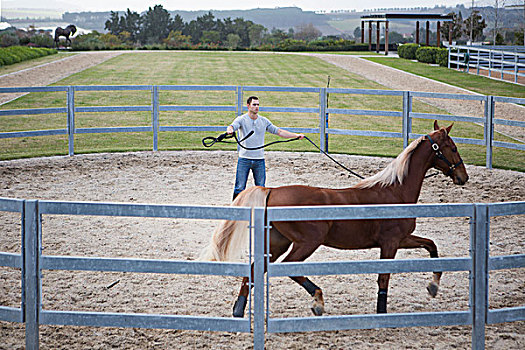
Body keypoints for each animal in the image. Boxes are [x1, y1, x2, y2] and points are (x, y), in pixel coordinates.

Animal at [200, 120, 466, 318]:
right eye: (453, 148)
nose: (463, 177)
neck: (395, 191)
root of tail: (272, 190)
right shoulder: (390, 243)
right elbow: (383, 278)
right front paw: (382, 312)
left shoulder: (403, 239)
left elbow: (431, 245)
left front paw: (433, 286)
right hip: (307, 242)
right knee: (288, 267)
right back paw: (317, 300)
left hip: (278, 243)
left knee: (256, 269)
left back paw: (238, 309)